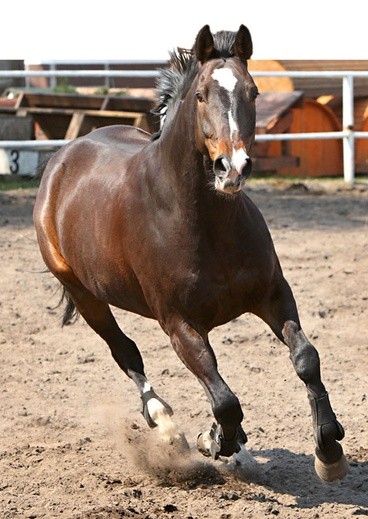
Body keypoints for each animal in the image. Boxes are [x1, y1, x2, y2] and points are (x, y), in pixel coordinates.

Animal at [32, 25, 348, 484]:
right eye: (201, 94)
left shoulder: (273, 294)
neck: (204, 222)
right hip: (84, 294)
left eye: (254, 91)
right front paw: (215, 440)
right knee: (126, 352)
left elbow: (306, 359)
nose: (232, 168)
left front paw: (329, 450)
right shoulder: (179, 324)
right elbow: (225, 400)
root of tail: (64, 157)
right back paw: (166, 426)